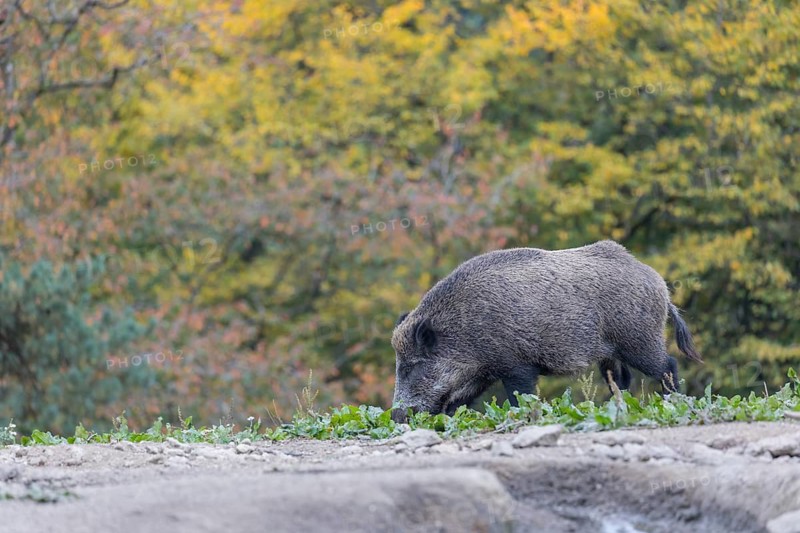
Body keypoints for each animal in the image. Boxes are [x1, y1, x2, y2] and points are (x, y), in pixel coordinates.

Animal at [390, 240, 701, 421]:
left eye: (410, 367)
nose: (396, 416)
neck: (463, 330)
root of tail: (659, 283)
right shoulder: (481, 372)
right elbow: (457, 399)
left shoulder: (515, 365)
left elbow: (520, 396)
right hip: (610, 353)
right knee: (620, 380)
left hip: (639, 339)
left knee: (667, 365)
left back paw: (673, 400)